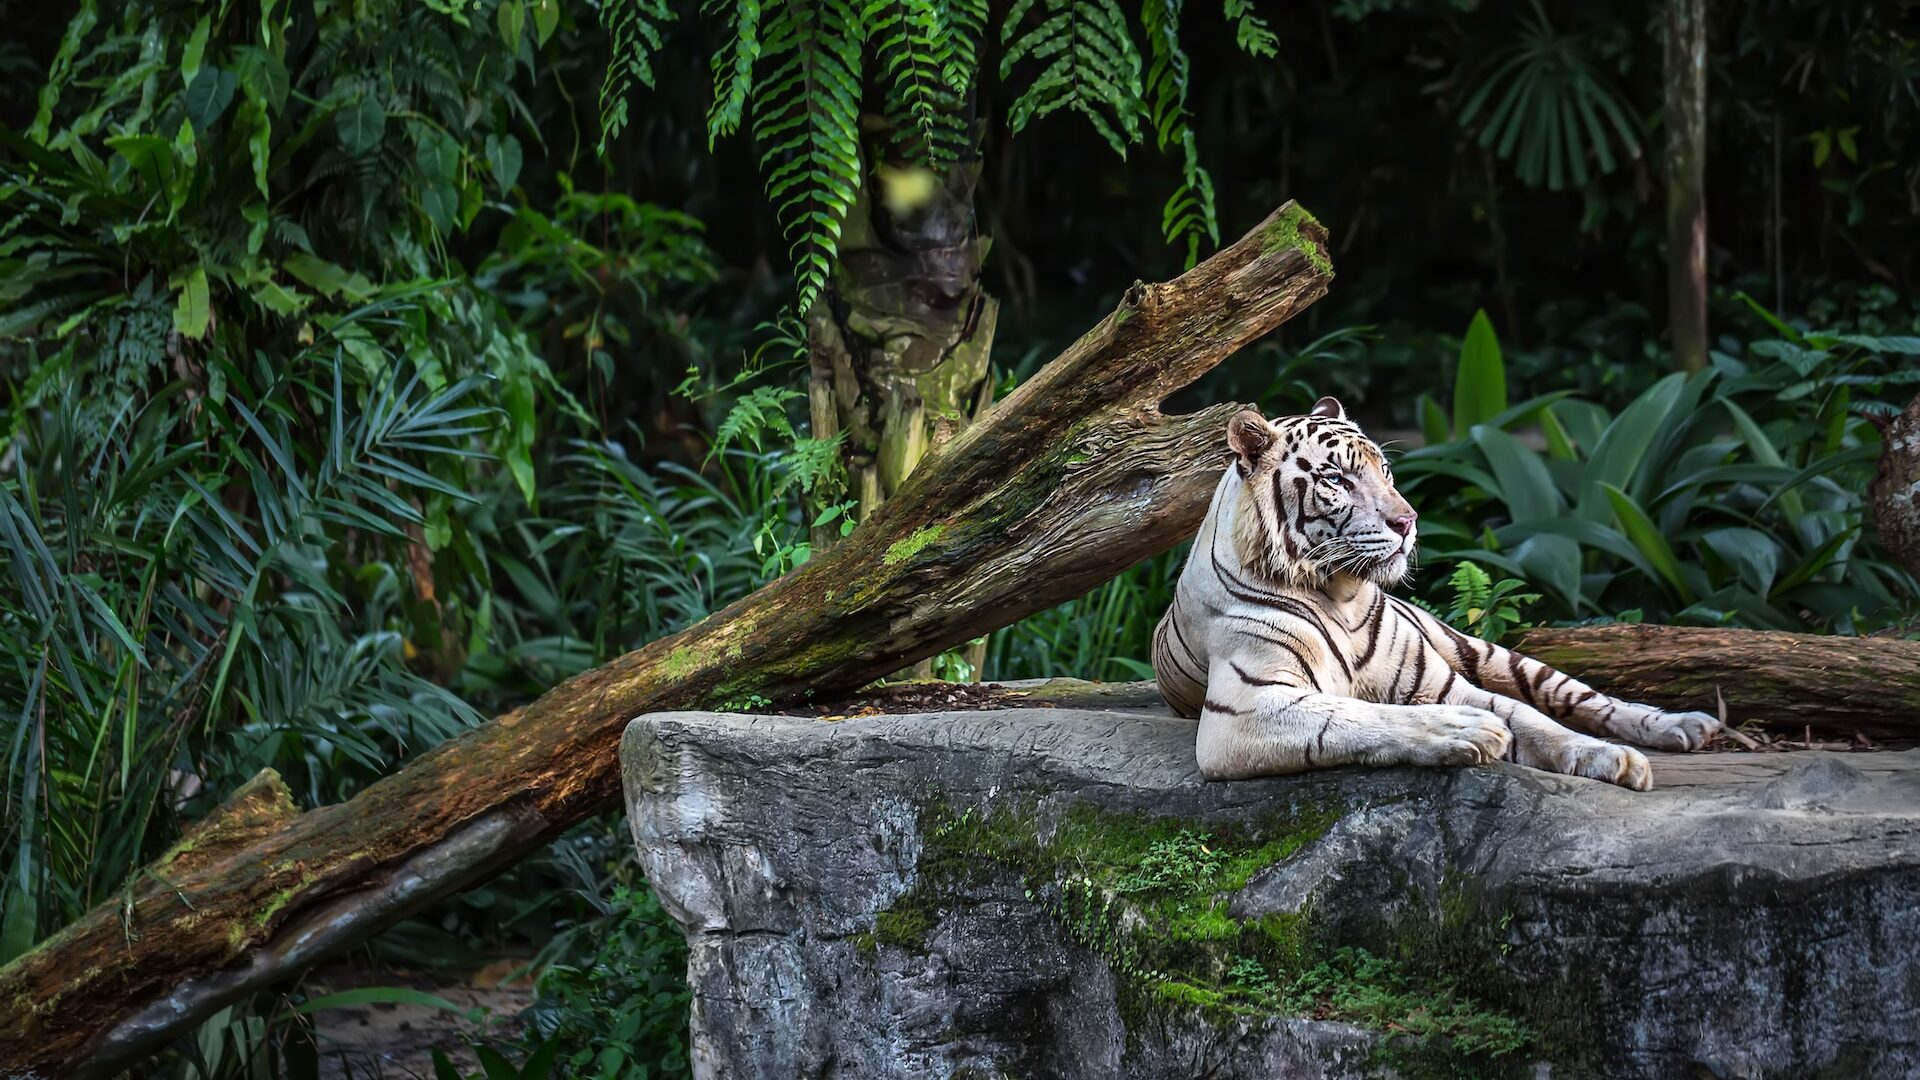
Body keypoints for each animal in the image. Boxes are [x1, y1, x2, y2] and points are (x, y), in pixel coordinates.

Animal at [1152, 399, 1728, 787]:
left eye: (1384, 469)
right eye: (1337, 479)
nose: (1408, 521)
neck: (1342, 595)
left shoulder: (1440, 681)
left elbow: (1533, 720)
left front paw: (1613, 758)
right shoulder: (1244, 709)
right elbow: (1361, 716)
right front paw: (1468, 731)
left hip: (1485, 651)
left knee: (1580, 698)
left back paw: (1684, 725)